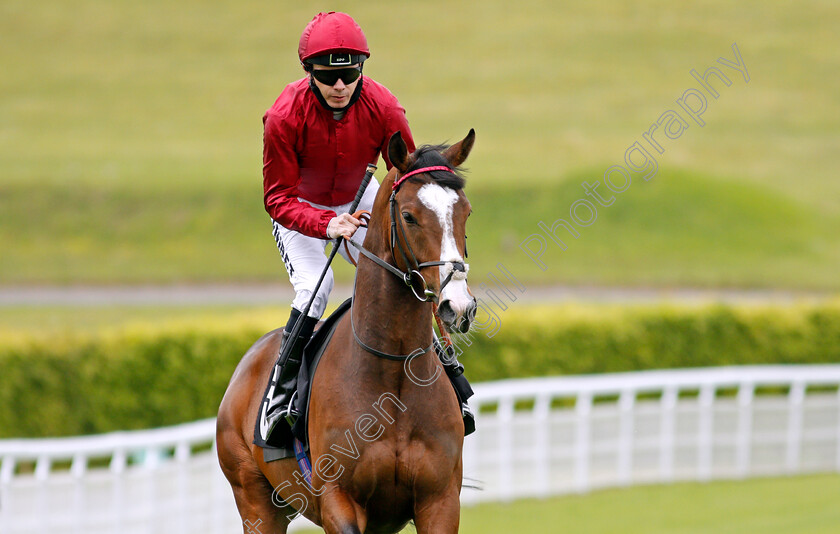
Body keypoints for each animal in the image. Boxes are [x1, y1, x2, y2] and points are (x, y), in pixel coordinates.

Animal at [217, 130, 480, 534]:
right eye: (409, 216)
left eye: (465, 212)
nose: (458, 306)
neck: (393, 373)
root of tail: (246, 365)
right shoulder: (338, 501)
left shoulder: (440, 500)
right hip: (255, 500)